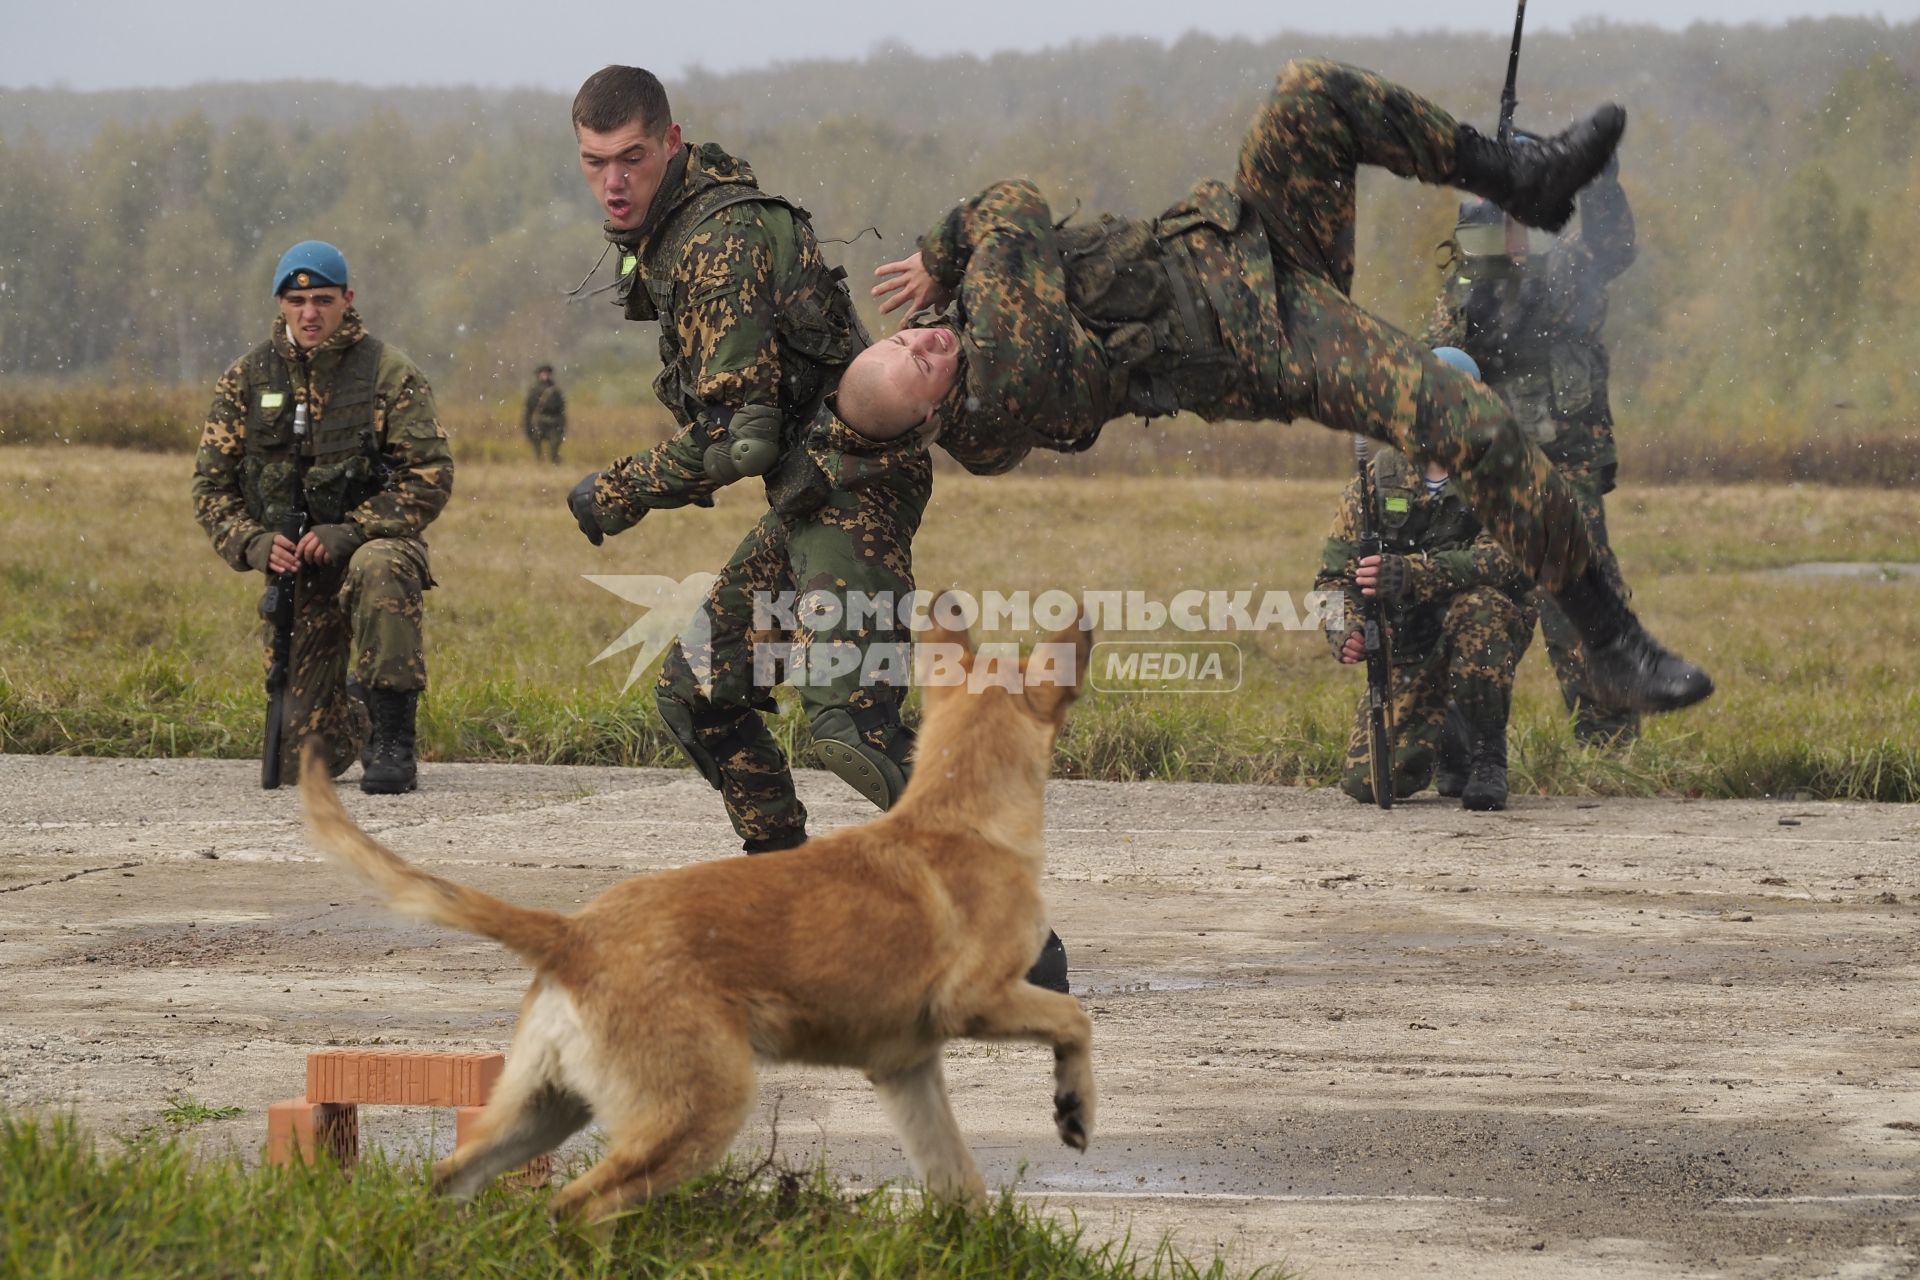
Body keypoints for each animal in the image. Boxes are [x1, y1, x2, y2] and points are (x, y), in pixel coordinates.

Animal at [297, 614, 1098, 1228]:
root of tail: (574, 935)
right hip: (697, 1112)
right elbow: (1075, 1018)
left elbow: (959, 1182)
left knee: (451, 1180)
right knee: (575, 1208)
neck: (957, 815)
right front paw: (1073, 1109)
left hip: (542, 1109)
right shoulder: (976, 1001)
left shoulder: (905, 1069)